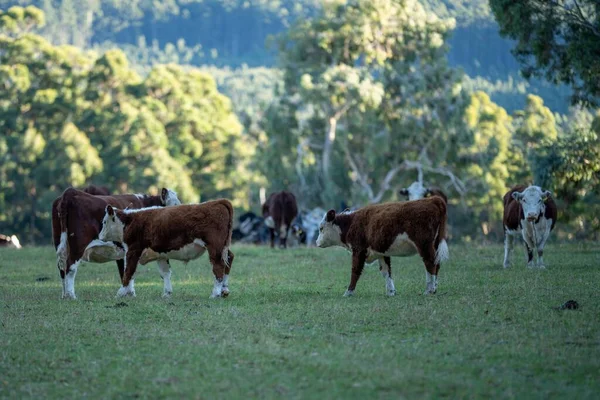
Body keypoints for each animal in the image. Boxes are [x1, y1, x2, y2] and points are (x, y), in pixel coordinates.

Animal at [51, 187, 179, 296]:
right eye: (175, 205)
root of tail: (70, 192)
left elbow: (126, 271)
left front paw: (129, 293)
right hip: (78, 245)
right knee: (70, 266)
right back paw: (70, 295)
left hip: (60, 243)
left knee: (61, 266)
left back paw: (64, 294)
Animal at [98, 198, 234, 298]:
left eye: (104, 222)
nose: (100, 236)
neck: (129, 221)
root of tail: (218, 201)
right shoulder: (161, 254)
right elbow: (165, 273)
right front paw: (167, 293)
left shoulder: (132, 250)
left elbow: (128, 271)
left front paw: (121, 293)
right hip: (223, 248)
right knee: (229, 258)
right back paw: (224, 289)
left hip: (215, 248)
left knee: (218, 266)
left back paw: (215, 293)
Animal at [316, 198, 448, 296]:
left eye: (321, 228)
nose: (317, 243)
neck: (351, 223)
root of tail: (433, 200)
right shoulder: (381, 253)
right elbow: (386, 272)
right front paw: (391, 292)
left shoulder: (358, 250)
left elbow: (355, 271)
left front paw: (348, 292)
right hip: (435, 244)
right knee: (437, 263)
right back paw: (434, 288)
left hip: (424, 245)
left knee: (430, 263)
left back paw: (429, 290)